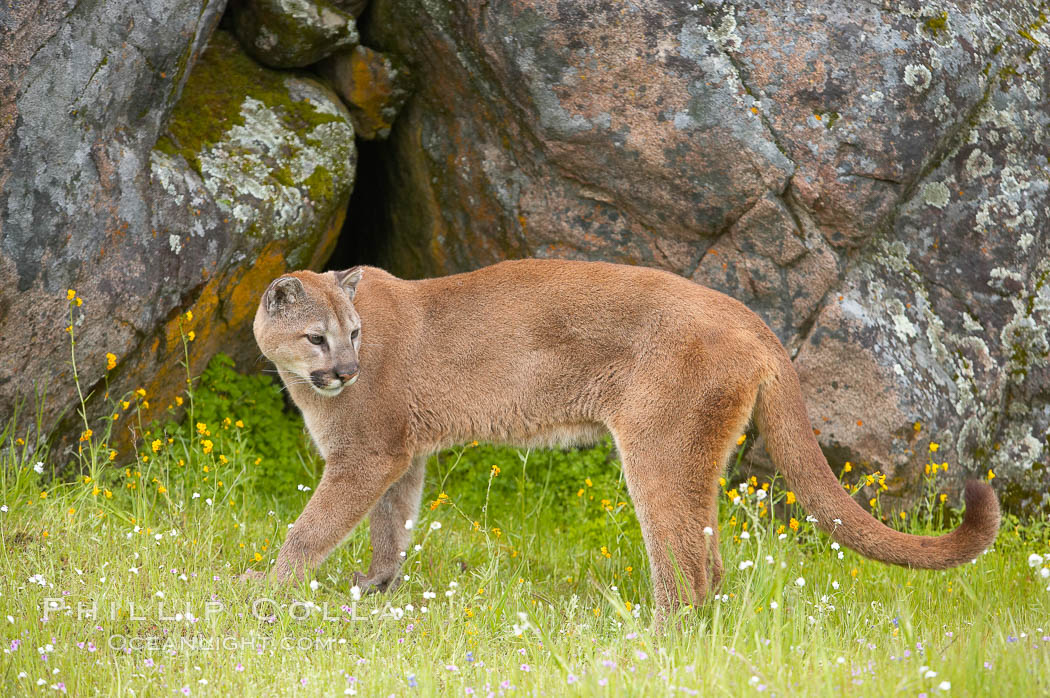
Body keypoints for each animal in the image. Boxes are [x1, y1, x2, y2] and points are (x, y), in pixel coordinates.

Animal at [247, 257, 999, 608]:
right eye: (318, 337)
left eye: (352, 335)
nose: (346, 371)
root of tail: (747, 315)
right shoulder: (402, 455)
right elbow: (391, 524)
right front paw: (376, 585)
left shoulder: (369, 453)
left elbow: (312, 526)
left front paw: (267, 587)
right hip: (694, 455)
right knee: (709, 557)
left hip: (658, 446)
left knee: (684, 564)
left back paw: (656, 640)